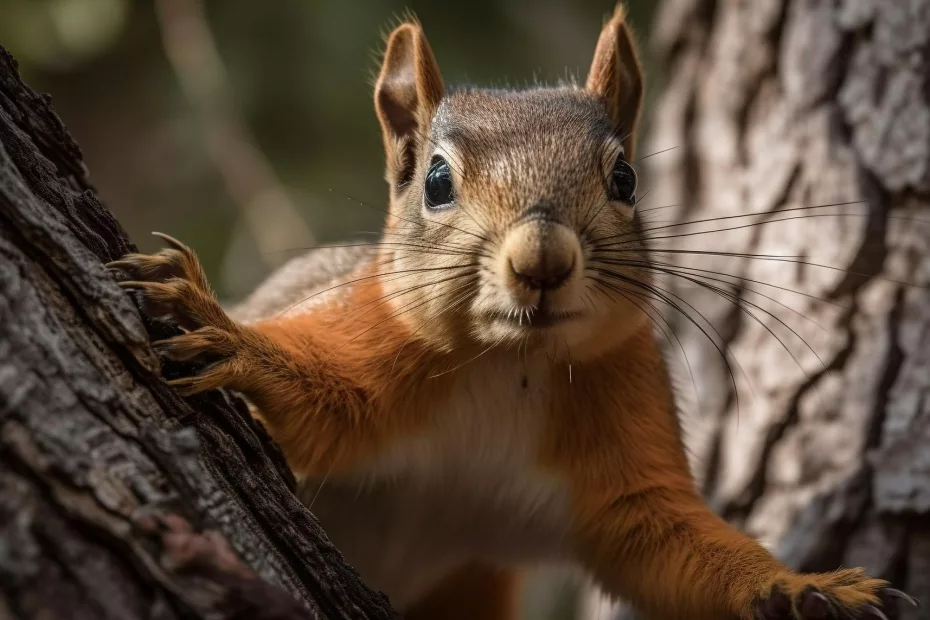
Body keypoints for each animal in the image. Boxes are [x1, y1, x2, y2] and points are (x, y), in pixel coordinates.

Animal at [109, 4, 912, 620]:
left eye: (626, 178)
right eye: (436, 182)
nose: (542, 261)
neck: (510, 363)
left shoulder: (619, 449)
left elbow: (666, 546)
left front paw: (806, 588)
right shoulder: (369, 342)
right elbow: (320, 405)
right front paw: (224, 328)